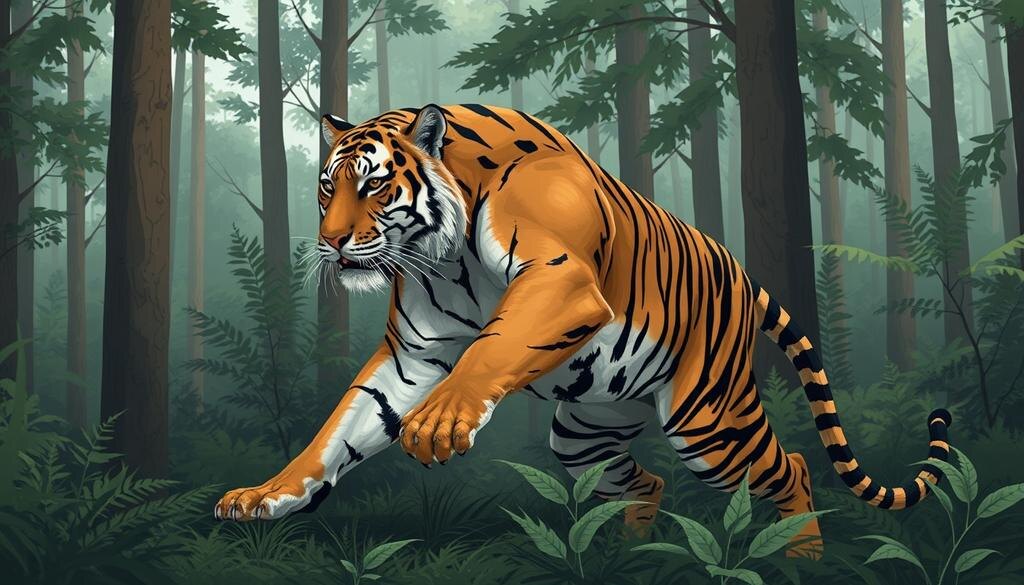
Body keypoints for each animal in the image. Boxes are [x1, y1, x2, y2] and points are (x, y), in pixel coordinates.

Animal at [213, 104, 952, 557]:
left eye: (370, 186)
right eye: (325, 186)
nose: (330, 243)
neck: (441, 256)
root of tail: (741, 273)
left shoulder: (561, 278)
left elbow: (493, 346)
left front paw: (442, 419)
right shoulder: (413, 352)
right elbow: (339, 429)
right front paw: (267, 495)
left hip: (709, 423)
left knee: (791, 466)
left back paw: (803, 558)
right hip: (585, 429)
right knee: (646, 483)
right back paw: (627, 558)